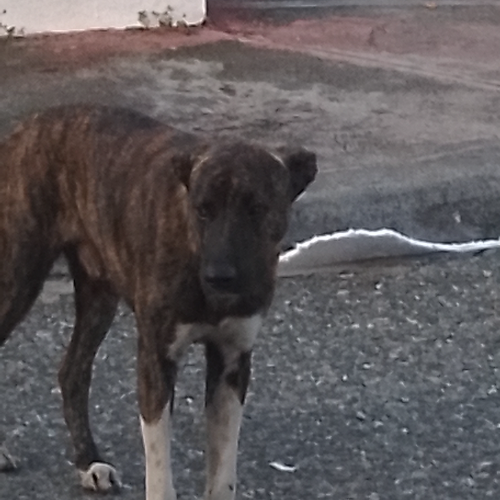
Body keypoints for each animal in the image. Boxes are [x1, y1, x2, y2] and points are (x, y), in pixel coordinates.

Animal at [0, 105, 317, 500]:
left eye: (257, 208)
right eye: (202, 209)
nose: (219, 276)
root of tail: (29, 124)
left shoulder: (232, 362)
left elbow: (223, 468)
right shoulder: (156, 359)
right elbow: (160, 466)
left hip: (98, 293)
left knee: (72, 371)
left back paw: (89, 461)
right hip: (18, 276)